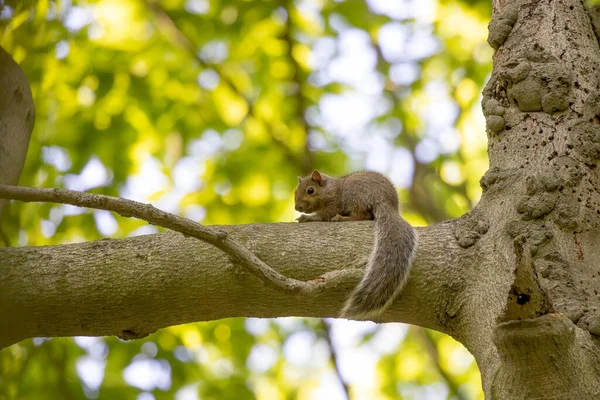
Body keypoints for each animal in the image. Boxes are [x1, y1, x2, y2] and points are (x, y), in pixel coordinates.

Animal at [294, 170, 418, 320]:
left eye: (310, 190)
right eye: (295, 191)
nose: (297, 207)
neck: (330, 188)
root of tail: (385, 201)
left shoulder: (335, 203)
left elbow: (324, 215)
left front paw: (309, 218)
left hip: (354, 193)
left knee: (362, 215)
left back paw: (341, 218)